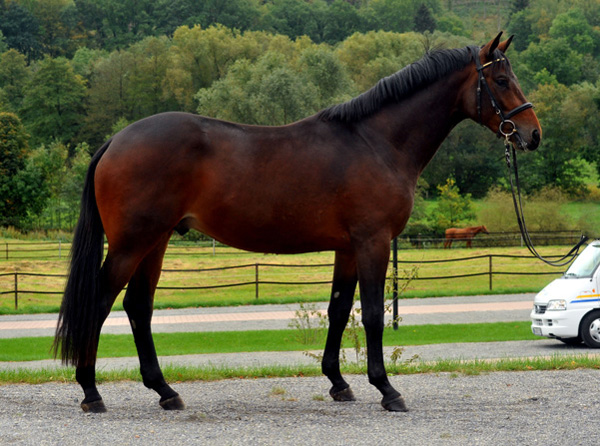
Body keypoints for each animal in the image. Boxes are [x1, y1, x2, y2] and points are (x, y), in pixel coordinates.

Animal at [54, 34, 540, 414]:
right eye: (501, 81)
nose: (532, 134)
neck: (376, 142)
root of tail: (116, 140)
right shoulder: (373, 241)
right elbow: (372, 314)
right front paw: (386, 389)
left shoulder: (348, 247)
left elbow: (339, 309)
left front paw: (339, 383)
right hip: (131, 243)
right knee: (100, 303)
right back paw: (92, 392)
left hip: (154, 243)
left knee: (139, 307)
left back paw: (165, 391)